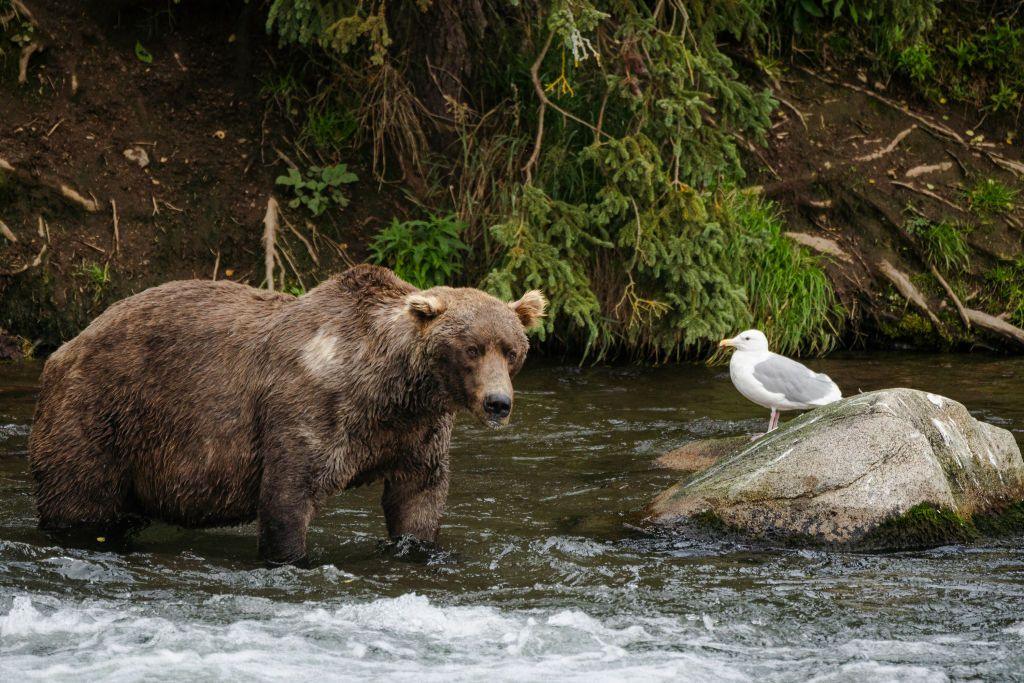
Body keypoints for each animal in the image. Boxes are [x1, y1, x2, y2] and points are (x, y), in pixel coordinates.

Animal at [29, 266, 544, 565]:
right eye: (472, 348)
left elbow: (417, 497)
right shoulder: (310, 410)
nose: (498, 403)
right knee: (82, 502)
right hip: (100, 414)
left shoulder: (417, 431)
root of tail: (65, 347)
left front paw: (418, 548)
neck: (388, 389)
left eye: (511, 349)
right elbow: (287, 496)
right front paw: (292, 558)